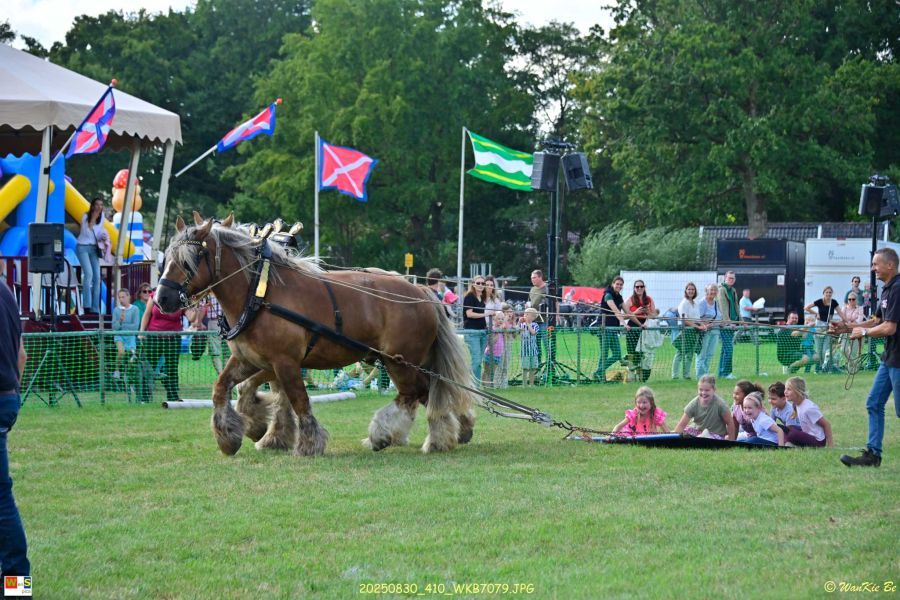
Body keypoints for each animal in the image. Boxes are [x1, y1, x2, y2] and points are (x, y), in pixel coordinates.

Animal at [155, 212, 477, 457]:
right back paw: (451, 430)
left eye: (190, 258)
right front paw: (236, 435)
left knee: (417, 394)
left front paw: (308, 443)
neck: (259, 293)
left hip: (400, 361)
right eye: (166, 258)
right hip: (407, 360)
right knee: (432, 391)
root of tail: (422, 292)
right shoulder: (251, 360)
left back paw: (405, 436)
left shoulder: (284, 362)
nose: (162, 299)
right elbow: (225, 388)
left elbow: (298, 401)